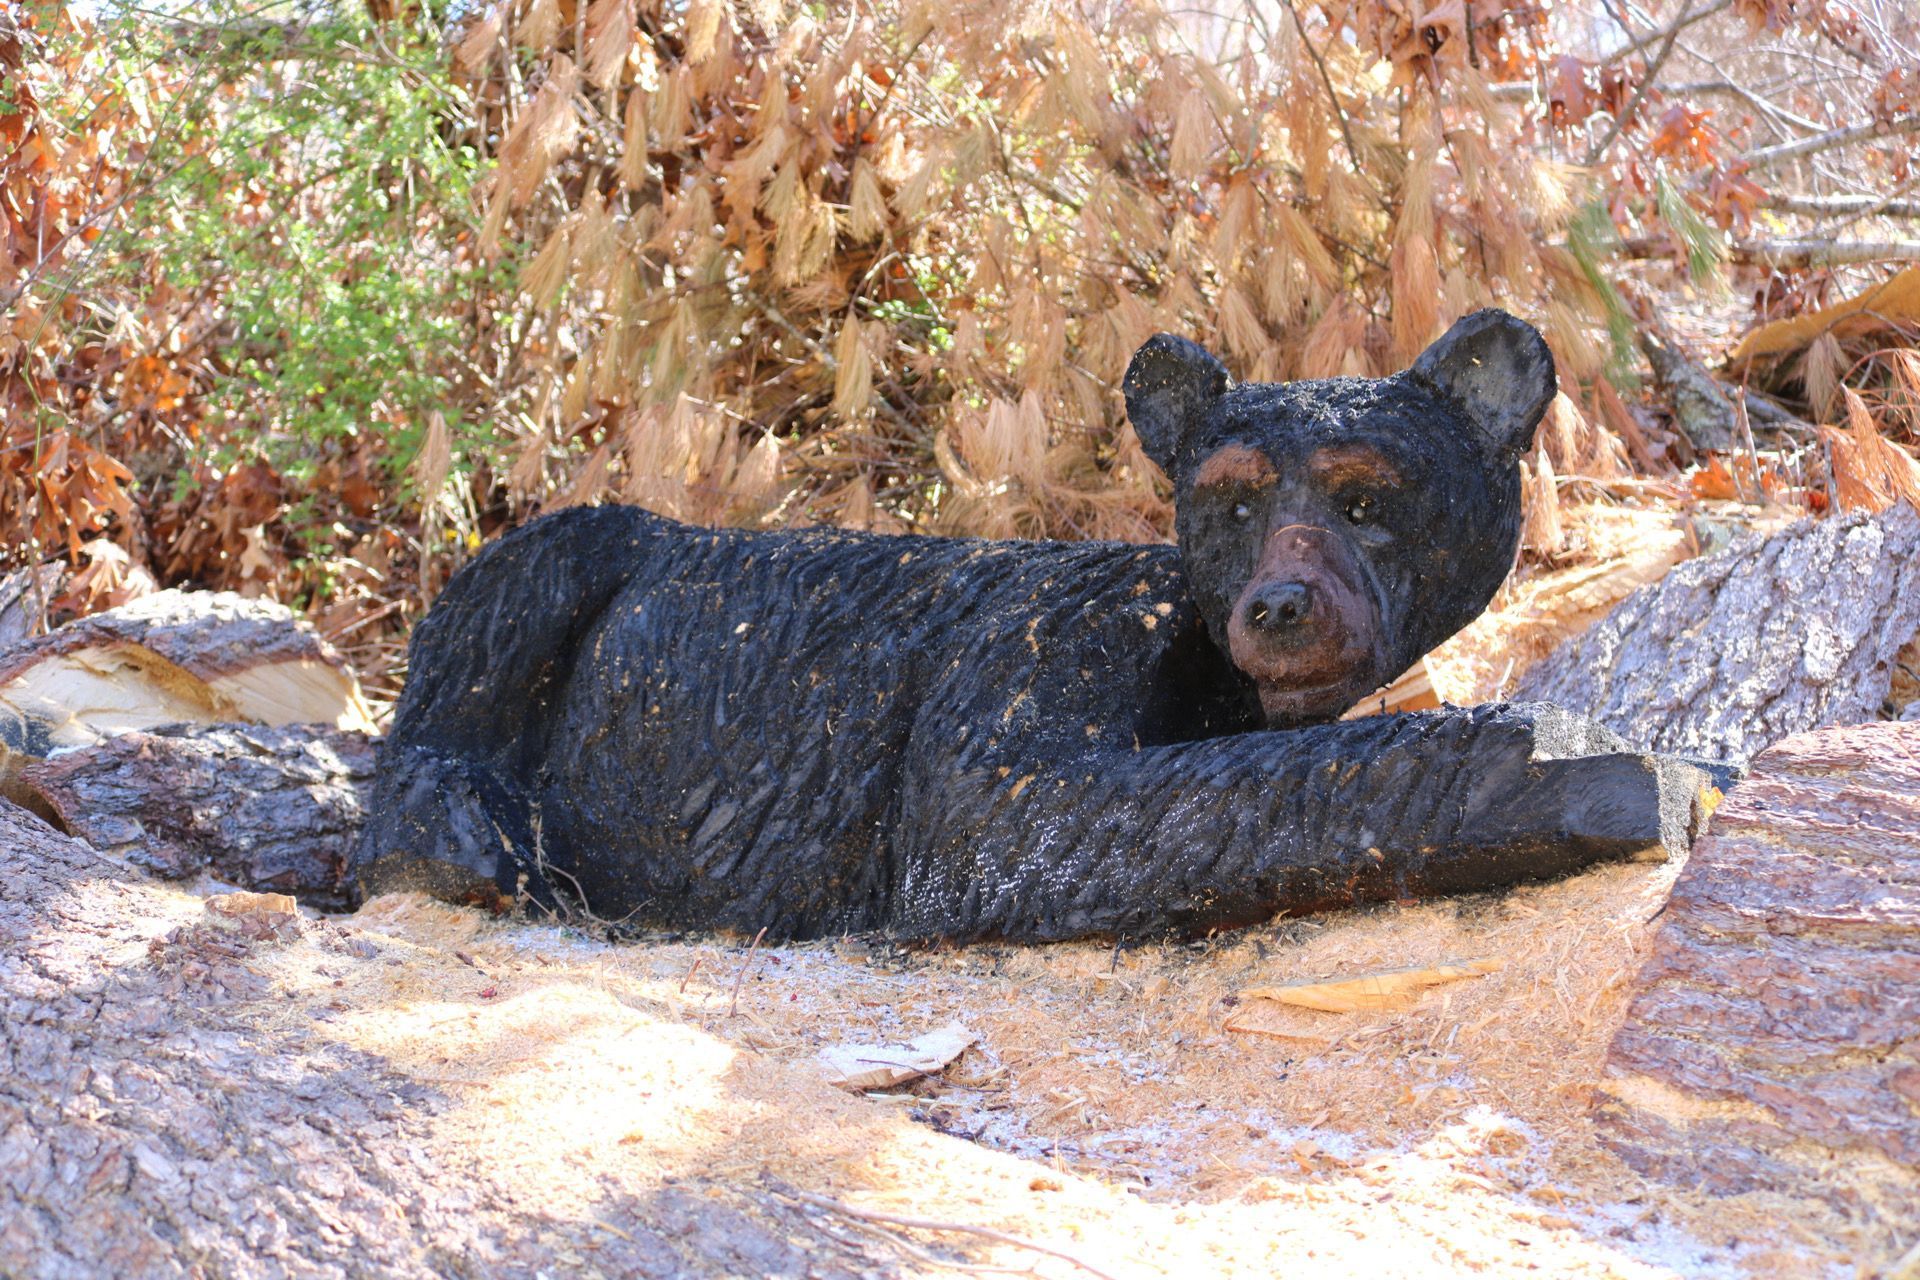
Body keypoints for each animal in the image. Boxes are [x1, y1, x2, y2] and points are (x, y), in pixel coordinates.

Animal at [352, 310, 1706, 943]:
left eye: (1366, 501)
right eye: (1231, 505)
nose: (1279, 604)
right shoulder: (1043, 651)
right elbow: (1054, 811)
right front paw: (1535, 756)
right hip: (571, 555)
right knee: (493, 622)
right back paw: (472, 831)